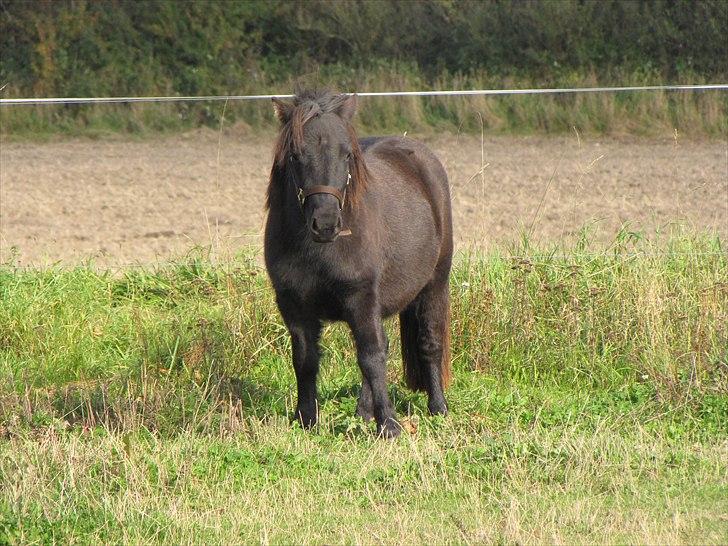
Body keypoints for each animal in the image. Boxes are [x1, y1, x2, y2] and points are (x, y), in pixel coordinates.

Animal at [264, 89, 452, 438]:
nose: (325, 223)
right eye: (295, 154)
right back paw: (363, 414)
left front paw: (389, 425)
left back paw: (438, 408)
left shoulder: (361, 298)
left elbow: (372, 357)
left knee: (429, 342)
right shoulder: (293, 305)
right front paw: (306, 420)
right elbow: (305, 360)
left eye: (347, 154)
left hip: (435, 284)